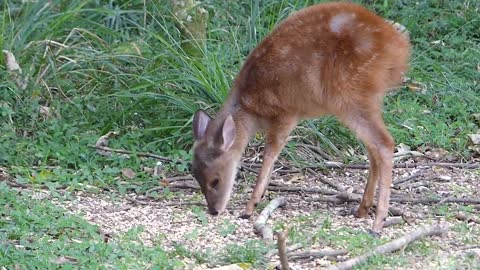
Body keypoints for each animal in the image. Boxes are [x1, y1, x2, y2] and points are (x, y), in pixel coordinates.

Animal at [189, 2, 410, 233]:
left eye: (215, 180)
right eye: (196, 176)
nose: (214, 210)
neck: (250, 108)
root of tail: (400, 49)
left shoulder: (286, 113)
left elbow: (269, 155)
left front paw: (250, 208)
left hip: (350, 96)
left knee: (384, 142)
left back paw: (378, 223)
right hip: (364, 99)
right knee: (373, 148)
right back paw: (362, 210)